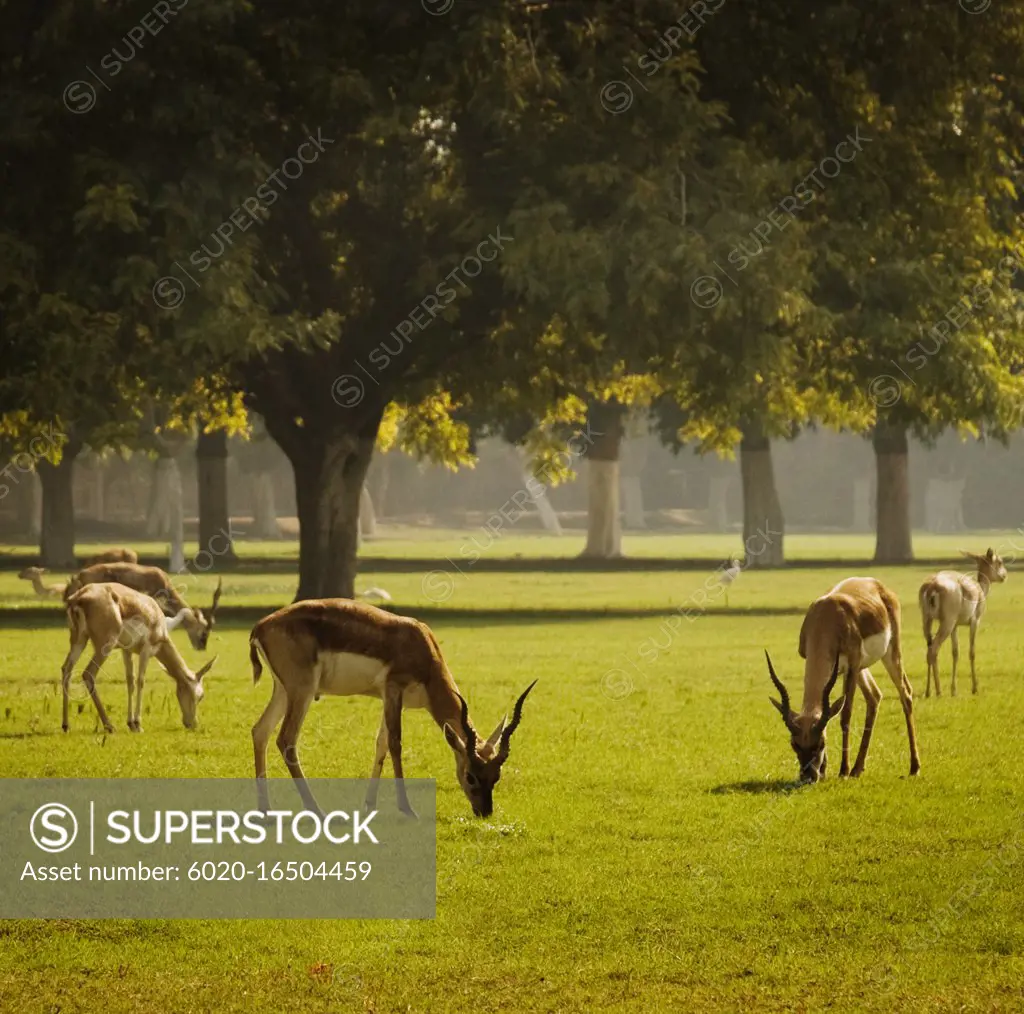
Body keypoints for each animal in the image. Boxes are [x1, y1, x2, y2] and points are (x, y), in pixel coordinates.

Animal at [59, 581, 216, 733]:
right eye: (201, 696)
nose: (192, 724)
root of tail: (79, 597)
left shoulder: (126, 651)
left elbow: (130, 682)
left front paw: (131, 724)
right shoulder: (146, 650)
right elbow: (141, 681)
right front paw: (138, 724)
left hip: (79, 640)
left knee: (66, 669)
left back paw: (66, 725)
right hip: (104, 646)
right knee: (88, 673)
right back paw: (109, 726)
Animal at [247, 598, 536, 823]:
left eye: (496, 776)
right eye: (471, 776)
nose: (484, 811)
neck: (423, 647)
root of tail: (260, 626)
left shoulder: (389, 698)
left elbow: (381, 744)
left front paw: (370, 805)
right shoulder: (394, 689)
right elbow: (396, 743)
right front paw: (407, 809)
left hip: (283, 690)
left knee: (260, 730)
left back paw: (266, 811)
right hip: (302, 690)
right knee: (286, 739)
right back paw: (317, 810)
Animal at [765, 577, 925, 786]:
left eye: (821, 743)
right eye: (794, 743)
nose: (808, 776)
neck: (826, 618)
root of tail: (877, 584)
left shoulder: (852, 665)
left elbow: (845, 715)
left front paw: (843, 771)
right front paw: (827, 771)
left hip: (888, 653)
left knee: (905, 692)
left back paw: (914, 767)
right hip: (861, 668)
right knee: (874, 696)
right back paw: (858, 768)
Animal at [921, 548, 1007, 696]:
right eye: (999, 561)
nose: (1004, 575)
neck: (979, 590)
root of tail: (932, 585)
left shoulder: (955, 627)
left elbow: (955, 653)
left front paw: (954, 690)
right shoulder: (975, 622)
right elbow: (972, 652)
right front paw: (975, 688)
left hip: (928, 621)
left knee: (929, 650)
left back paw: (928, 691)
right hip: (946, 623)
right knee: (934, 650)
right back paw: (938, 691)